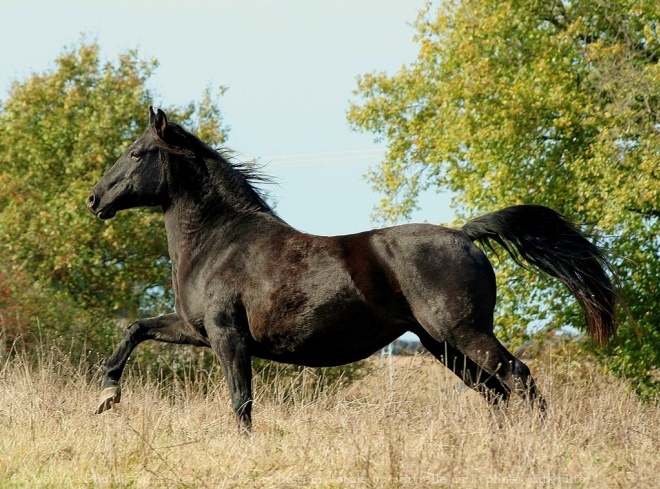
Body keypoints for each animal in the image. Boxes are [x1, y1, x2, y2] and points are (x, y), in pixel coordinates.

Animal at [87, 107, 612, 430]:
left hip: (463, 333)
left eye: (137, 153)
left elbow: (241, 402)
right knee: (496, 392)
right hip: (441, 344)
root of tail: (464, 235)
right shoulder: (195, 329)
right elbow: (136, 328)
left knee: (517, 376)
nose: (95, 199)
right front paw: (107, 393)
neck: (221, 242)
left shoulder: (226, 337)